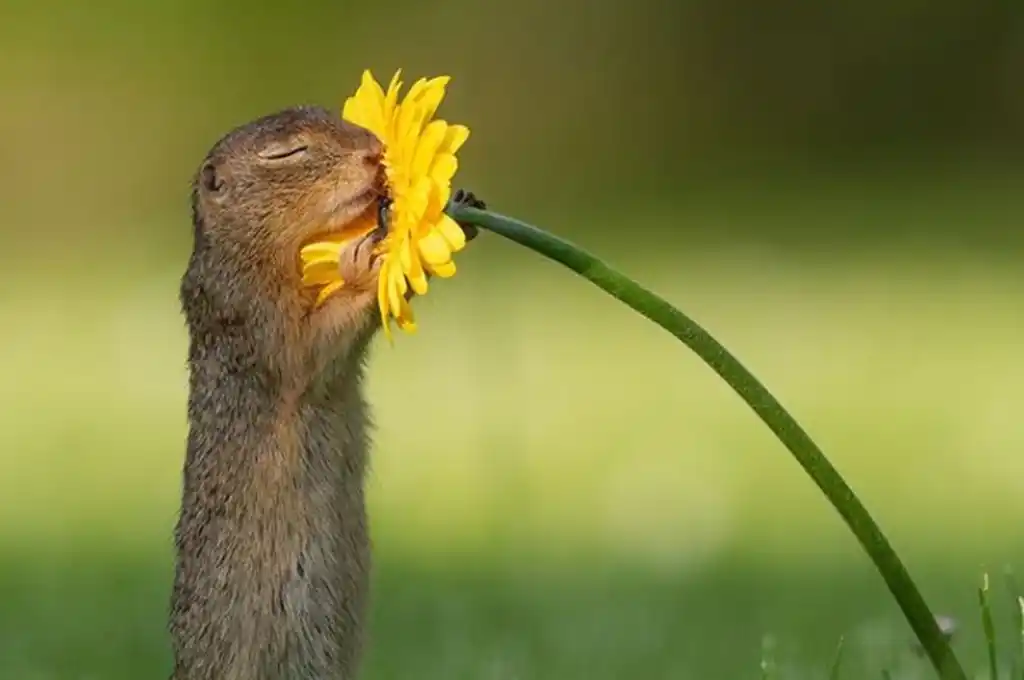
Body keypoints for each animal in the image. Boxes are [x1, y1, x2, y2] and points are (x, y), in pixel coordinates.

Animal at [171, 105, 483, 680]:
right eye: (287, 153)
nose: (374, 153)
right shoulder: (251, 314)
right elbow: (309, 347)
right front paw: (373, 252)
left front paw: (462, 210)